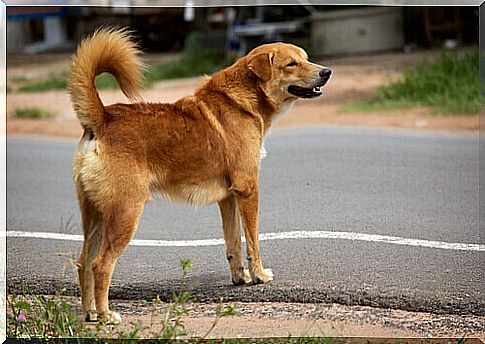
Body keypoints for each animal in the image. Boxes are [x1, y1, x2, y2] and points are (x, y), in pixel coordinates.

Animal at [68, 26, 330, 322]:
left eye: (306, 59)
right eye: (291, 64)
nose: (327, 72)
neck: (242, 101)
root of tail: (102, 118)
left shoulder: (228, 198)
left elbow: (233, 245)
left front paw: (240, 278)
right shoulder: (249, 189)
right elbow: (252, 242)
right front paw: (259, 276)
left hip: (95, 215)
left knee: (84, 263)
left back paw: (90, 313)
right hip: (125, 212)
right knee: (100, 265)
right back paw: (106, 314)